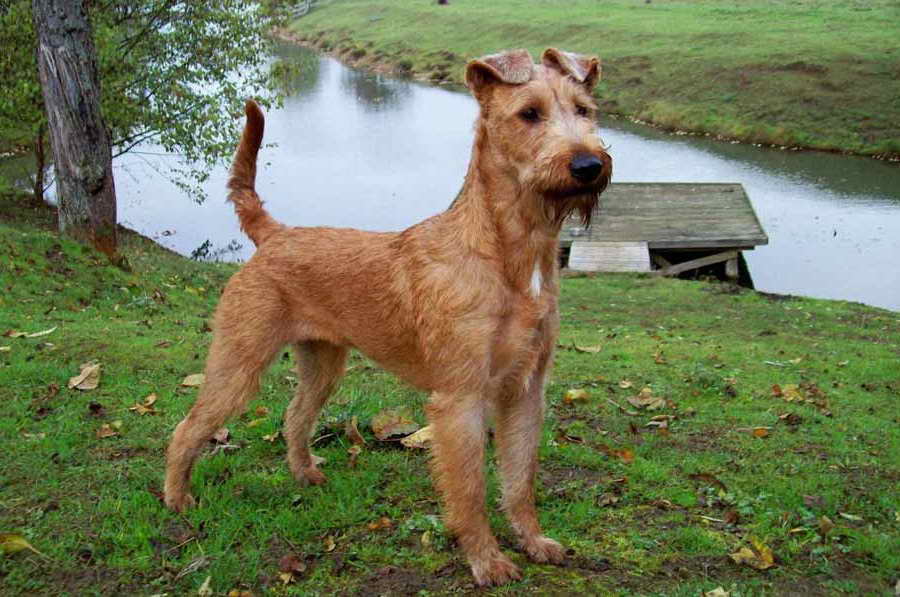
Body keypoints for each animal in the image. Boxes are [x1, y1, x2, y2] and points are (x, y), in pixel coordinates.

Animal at [163, 47, 612, 588]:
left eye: (585, 109)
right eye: (529, 113)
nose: (588, 164)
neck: (507, 256)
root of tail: (275, 234)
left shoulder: (526, 391)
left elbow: (520, 479)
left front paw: (534, 541)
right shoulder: (460, 399)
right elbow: (470, 490)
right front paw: (486, 560)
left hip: (323, 365)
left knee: (294, 416)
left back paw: (305, 473)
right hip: (239, 364)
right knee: (187, 428)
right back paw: (178, 499)